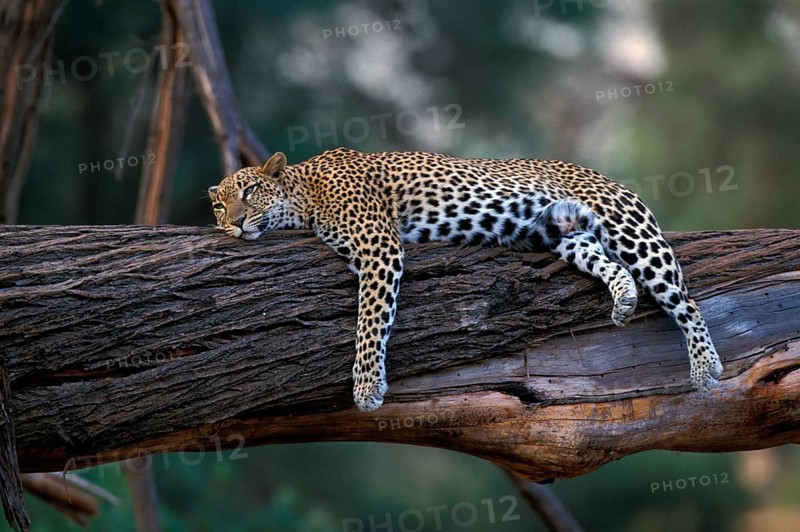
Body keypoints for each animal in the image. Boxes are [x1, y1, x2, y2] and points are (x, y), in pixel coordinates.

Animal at [208, 147, 724, 412]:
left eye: (249, 191)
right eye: (218, 204)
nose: (233, 223)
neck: (305, 193)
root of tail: (604, 175)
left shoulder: (379, 247)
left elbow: (370, 320)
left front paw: (367, 386)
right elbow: (372, 315)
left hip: (627, 228)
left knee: (684, 298)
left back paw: (704, 366)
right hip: (567, 234)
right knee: (610, 265)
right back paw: (623, 301)